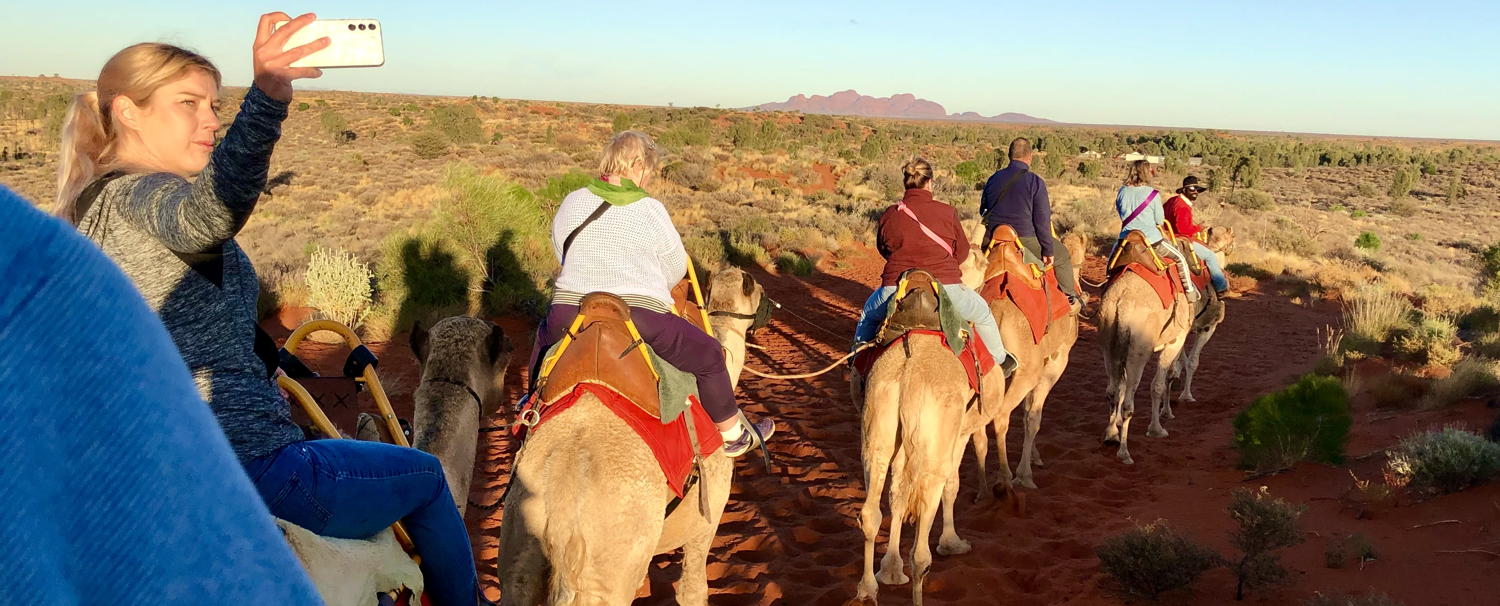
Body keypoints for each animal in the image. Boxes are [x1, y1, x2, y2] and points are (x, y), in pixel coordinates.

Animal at [498, 268, 768, 606]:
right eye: (758, 290)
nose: (769, 308)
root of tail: (563, 502)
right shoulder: (706, 519)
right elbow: (692, 590)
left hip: (521, 544)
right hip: (610, 566)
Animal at [852, 276, 990, 606]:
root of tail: (909, 371)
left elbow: (898, 497)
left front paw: (890, 569)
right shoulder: (960, 433)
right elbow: (952, 486)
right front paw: (953, 543)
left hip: (877, 432)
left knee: (871, 511)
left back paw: (867, 589)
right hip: (934, 451)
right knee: (920, 551)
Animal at [960, 229, 1092, 489]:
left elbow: (1027, 411)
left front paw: (1034, 457)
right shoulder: (1055, 362)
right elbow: (1033, 415)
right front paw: (1026, 473)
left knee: (979, 425)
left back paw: (983, 487)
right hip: (1026, 372)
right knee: (1001, 416)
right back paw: (1005, 478)